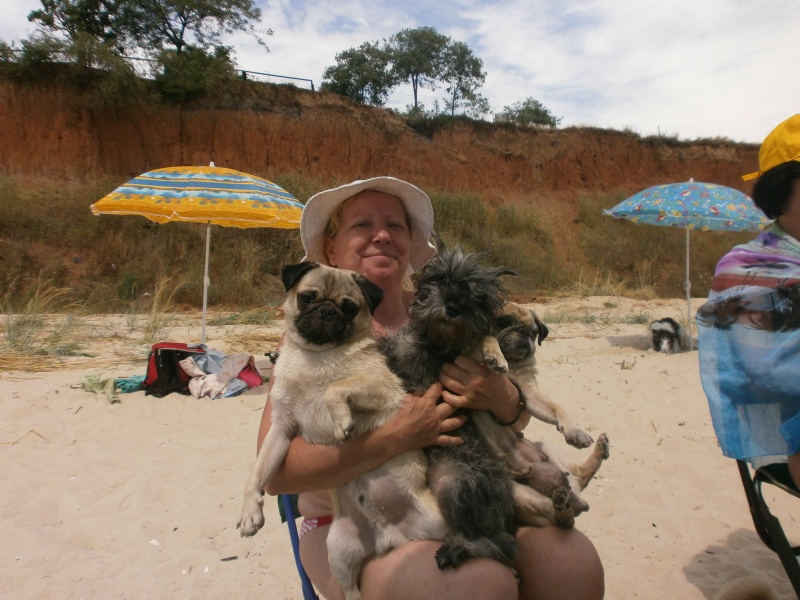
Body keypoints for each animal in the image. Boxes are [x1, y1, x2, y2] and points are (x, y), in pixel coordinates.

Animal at [237, 262, 447, 600]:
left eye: (349, 308)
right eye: (307, 298)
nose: (326, 311)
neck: (316, 355)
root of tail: (390, 537)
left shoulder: (381, 388)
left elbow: (335, 388)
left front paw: (340, 420)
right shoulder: (281, 430)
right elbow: (256, 475)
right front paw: (249, 513)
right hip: (337, 549)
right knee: (350, 591)